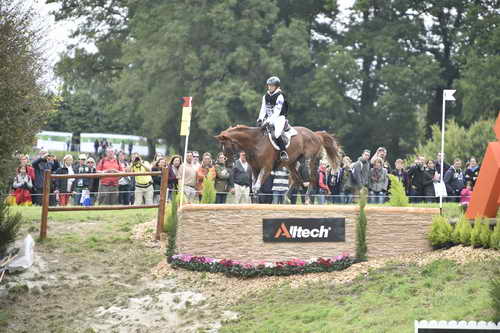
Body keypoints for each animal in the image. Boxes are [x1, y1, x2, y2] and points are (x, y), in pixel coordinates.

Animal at [213, 124, 342, 192]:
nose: (228, 165)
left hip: (308, 161)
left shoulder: (266, 167)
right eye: (221, 147)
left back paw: (307, 198)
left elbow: (256, 186)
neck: (255, 142)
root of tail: (316, 134)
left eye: (227, 147)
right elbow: (254, 187)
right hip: (291, 164)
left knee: (312, 178)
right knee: (298, 180)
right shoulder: (255, 168)